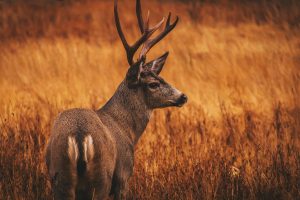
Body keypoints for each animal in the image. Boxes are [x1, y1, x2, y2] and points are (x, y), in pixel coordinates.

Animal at [45, 0, 186, 199]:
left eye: (161, 77)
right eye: (153, 84)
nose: (183, 96)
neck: (126, 128)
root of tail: (79, 136)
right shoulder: (123, 175)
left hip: (59, 176)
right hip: (102, 177)